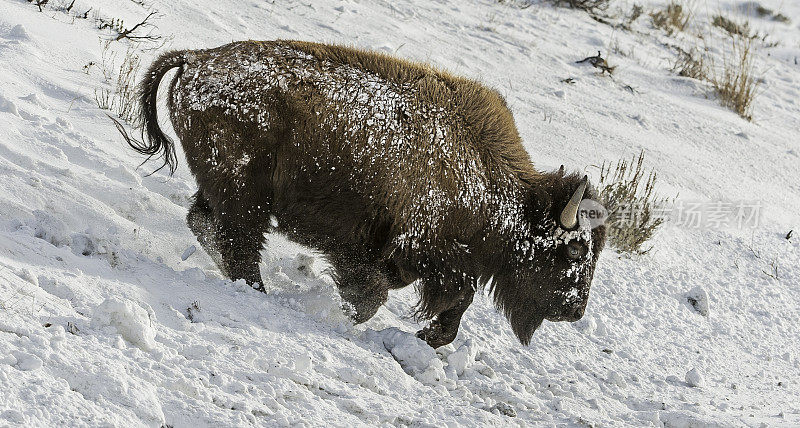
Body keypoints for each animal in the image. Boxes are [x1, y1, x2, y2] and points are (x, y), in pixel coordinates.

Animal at [120, 40, 608, 348]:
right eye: (574, 250)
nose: (574, 310)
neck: (495, 186)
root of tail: (198, 58)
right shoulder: (409, 251)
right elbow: (386, 294)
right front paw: (358, 317)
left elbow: (448, 302)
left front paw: (427, 337)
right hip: (245, 196)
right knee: (238, 243)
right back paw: (257, 292)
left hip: (227, 192)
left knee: (208, 224)